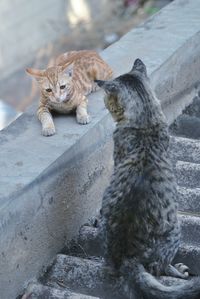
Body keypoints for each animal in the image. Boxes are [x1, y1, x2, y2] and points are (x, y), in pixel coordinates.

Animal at [94, 59, 200, 299]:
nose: (104, 104)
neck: (146, 120)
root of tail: (127, 255)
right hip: (175, 229)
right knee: (159, 268)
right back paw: (179, 271)